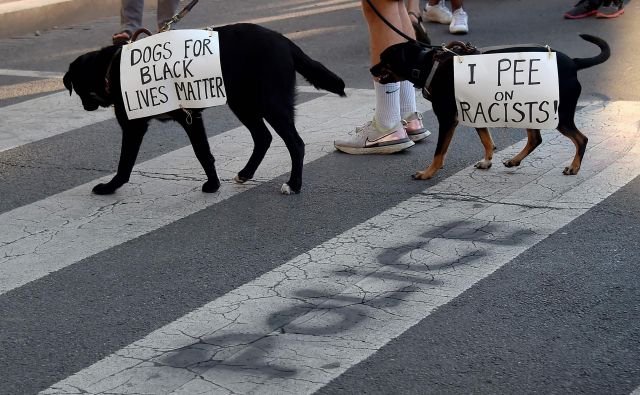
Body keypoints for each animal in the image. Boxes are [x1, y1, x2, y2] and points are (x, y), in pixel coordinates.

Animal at [63, 22, 344, 196]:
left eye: (77, 88)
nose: (86, 107)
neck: (111, 68)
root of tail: (284, 40)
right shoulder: (185, 118)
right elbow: (204, 153)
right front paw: (215, 183)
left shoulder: (162, 122)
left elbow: (127, 163)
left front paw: (110, 187)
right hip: (243, 103)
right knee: (263, 137)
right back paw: (246, 173)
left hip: (271, 103)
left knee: (296, 143)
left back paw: (293, 185)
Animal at [370, 34, 608, 180]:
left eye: (384, 59)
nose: (371, 69)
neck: (428, 65)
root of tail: (574, 63)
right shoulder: (473, 110)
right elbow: (486, 140)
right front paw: (487, 161)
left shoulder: (447, 119)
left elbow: (439, 151)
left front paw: (428, 173)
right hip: (527, 109)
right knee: (535, 138)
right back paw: (514, 160)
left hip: (559, 115)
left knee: (581, 139)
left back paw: (574, 167)